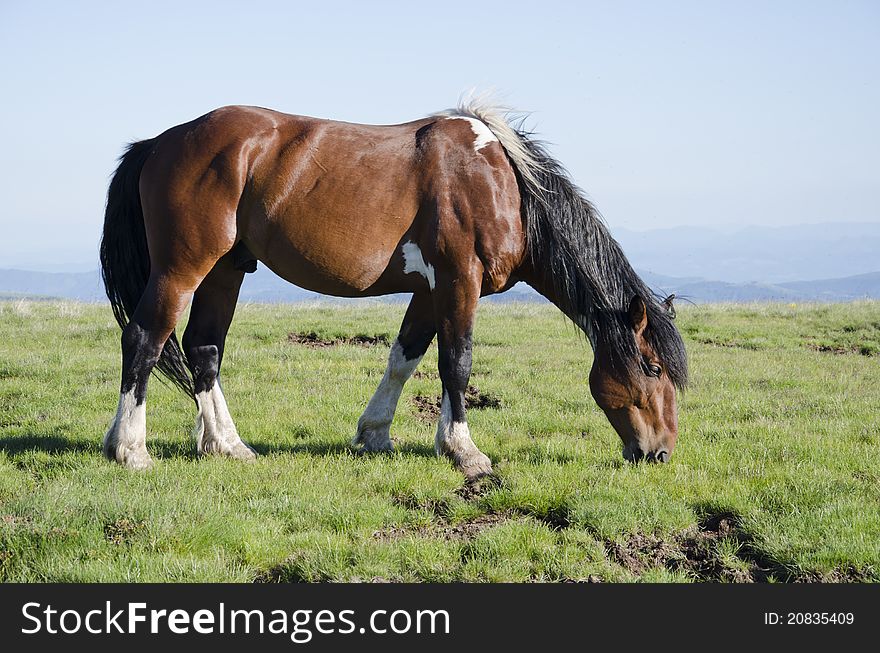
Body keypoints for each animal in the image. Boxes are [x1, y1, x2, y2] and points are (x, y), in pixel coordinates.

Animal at [98, 98, 688, 478]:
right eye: (652, 367)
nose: (661, 453)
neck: (503, 184)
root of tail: (160, 142)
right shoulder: (458, 282)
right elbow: (457, 362)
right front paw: (464, 452)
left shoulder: (430, 292)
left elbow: (405, 357)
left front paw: (375, 434)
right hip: (183, 267)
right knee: (145, 339)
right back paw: (130, 450)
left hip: (225, 270)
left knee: (203, 348)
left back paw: (226, 445)